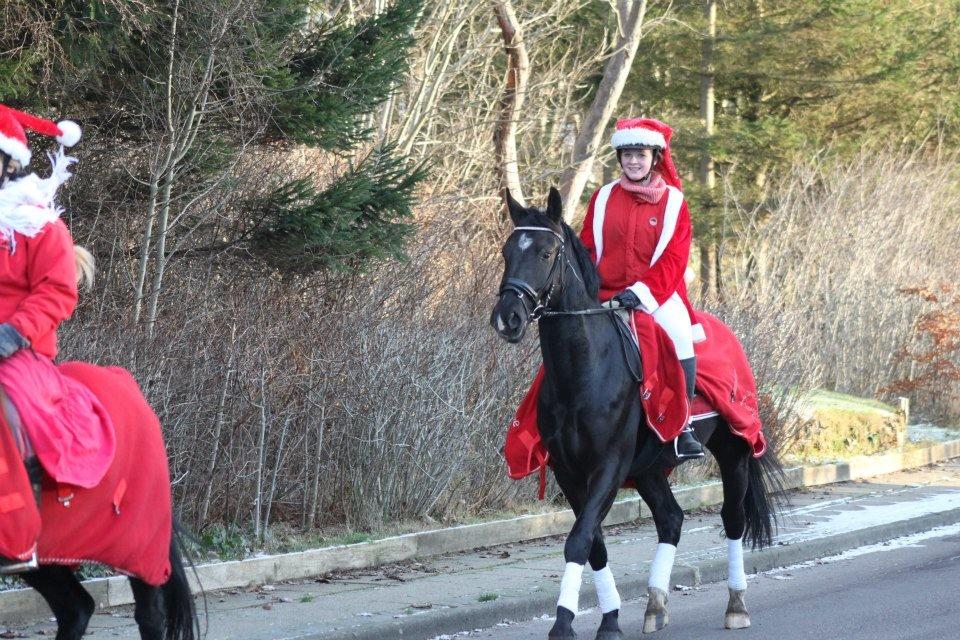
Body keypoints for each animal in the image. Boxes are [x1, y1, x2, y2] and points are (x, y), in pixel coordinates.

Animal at [492, 188, 784, 636]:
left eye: (545, 253)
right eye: (508, 252)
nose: (506, 318)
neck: (585, 371)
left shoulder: (608, 466)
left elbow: (579, 540)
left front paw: (563, 623)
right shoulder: (568, 471)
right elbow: (593, 544)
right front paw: (609, 619)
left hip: (733, 452)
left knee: (732, 519)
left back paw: (736, 604)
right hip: (649, 469)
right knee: (671, 520)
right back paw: (655, 605)